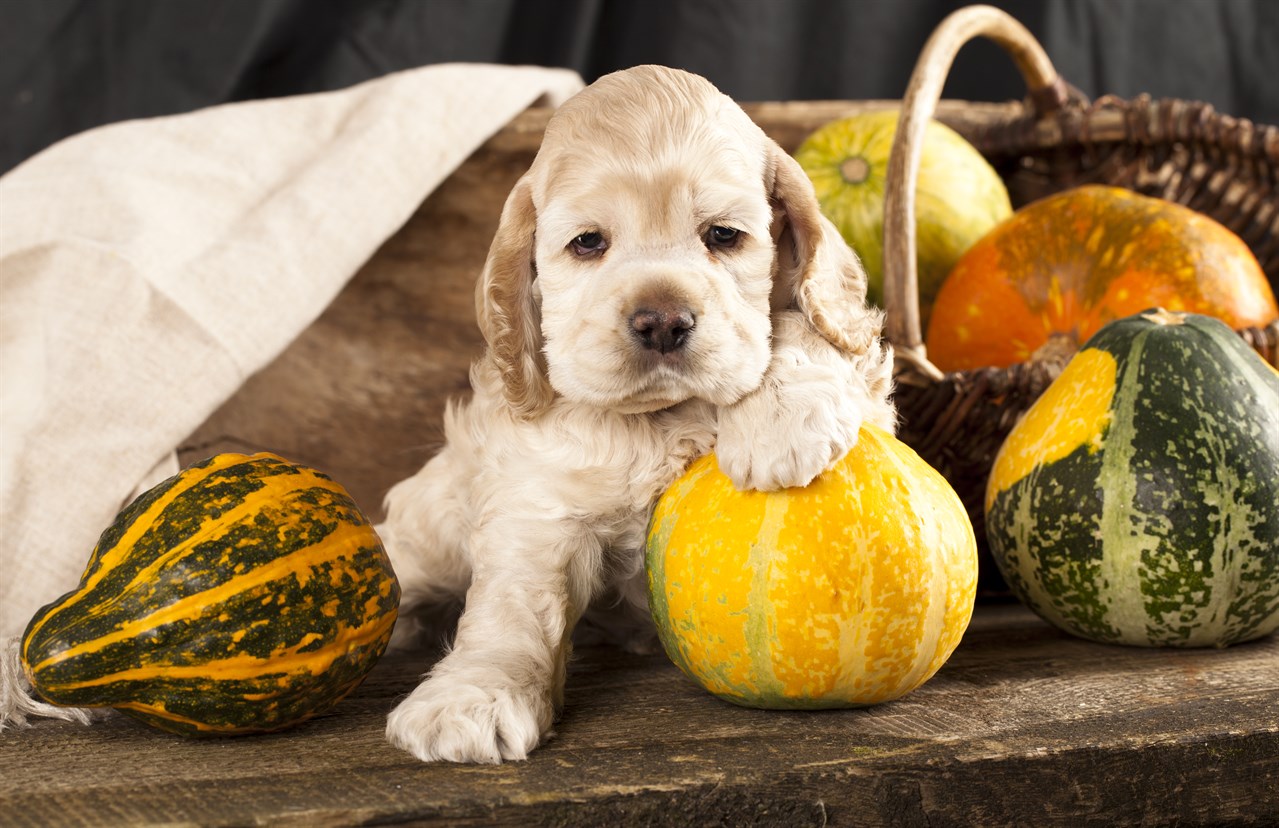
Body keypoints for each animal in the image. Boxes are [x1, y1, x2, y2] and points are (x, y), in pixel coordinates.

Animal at [383, 64, 895, 762]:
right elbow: (513, 604)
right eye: (587, 243)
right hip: (430, 534)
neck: (661, 418)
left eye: (723, 236)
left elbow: (796, 322)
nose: (663, 321)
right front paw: (473, 699)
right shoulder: (539, 501)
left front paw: (780, 425)